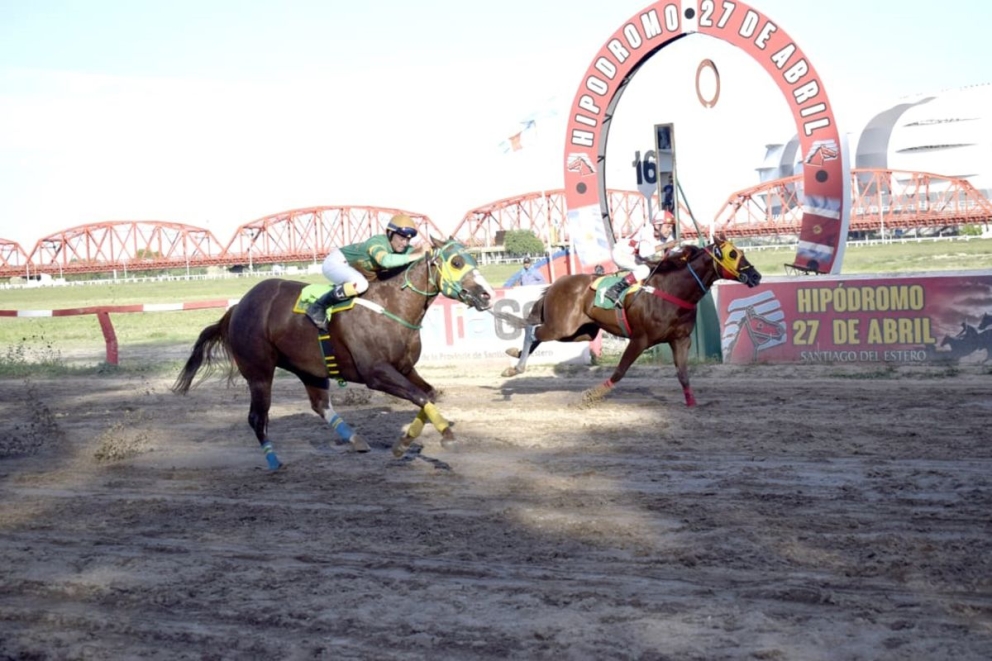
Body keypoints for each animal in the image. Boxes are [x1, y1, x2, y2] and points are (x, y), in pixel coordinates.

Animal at [172, 235, 496, 466]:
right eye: (456, 262)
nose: (487, 294)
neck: (391, 307)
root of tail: (238, 306)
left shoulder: (404, 368)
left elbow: (427, 396)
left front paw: (403, 444)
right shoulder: (375, 373)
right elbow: (420, 397)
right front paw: (447, 437)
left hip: (310, 368)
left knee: (319, 405)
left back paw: (354, 440)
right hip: (259, 372)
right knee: (256, 416)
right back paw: (273, 460)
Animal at [500, 235, 764, 404]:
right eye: (733, 254)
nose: (756, 276)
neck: (674, 290)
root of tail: (557, 283)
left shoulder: (681, 340)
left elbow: (683, 374)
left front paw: (692, 403)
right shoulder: (640, 340)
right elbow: (620, 371)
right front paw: (590, 396)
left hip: (579, 332)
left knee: (537, 333)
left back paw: (514, 360)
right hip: (561, 327)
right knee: (533, 331)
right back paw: (517, 367)